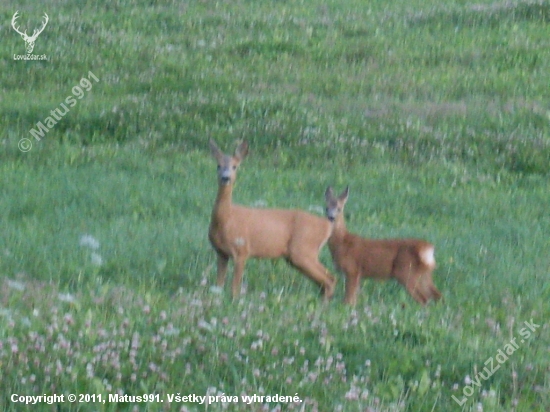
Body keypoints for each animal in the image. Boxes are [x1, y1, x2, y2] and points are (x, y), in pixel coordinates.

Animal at [208, 141, 336, 300]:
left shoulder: (242, 249)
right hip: (298, 257)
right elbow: (219, 285)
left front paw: (233, 300)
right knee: (326, 280)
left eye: (235, 166)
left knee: (330, 279)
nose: (226, 178)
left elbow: (234, 288)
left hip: (304, 250)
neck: (227, 219)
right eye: (218, 165)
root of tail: (327, 226)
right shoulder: (221, 252)